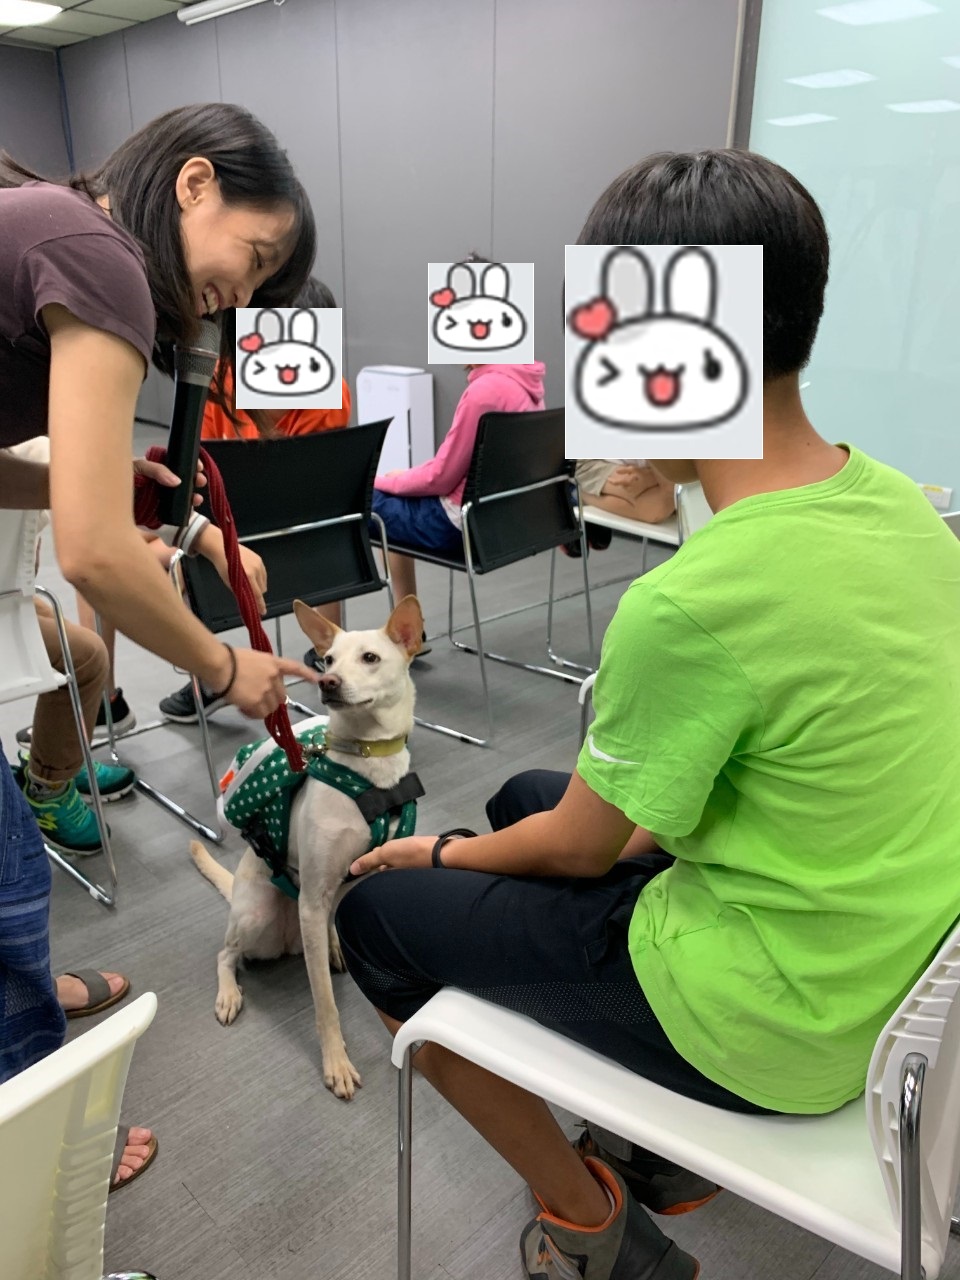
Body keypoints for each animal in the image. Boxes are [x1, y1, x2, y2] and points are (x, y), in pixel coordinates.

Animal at [189, 593, 423, 1100]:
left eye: (370, 658)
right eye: (327, 660)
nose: (328, 683)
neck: (368, 767)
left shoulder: (369, 875)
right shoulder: (313, 901)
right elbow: (325, 1006)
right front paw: (336, 1063)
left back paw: (333, 947)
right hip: (257, 918)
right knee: (225, 954)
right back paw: (229, 993)